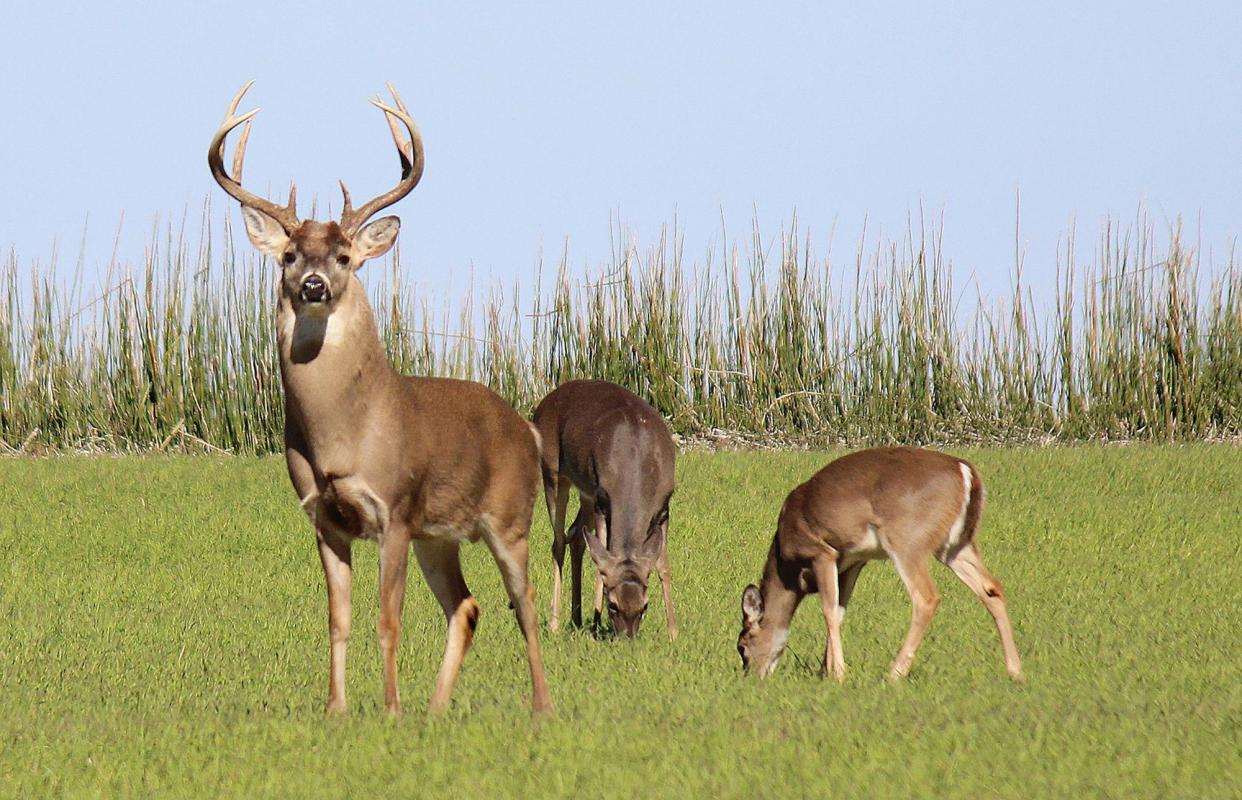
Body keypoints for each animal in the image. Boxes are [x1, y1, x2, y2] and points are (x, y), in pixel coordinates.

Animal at [209, 82, 553, 710]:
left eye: (344, 256)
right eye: (289, 256)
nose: (313, 285)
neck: (344, 436)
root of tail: (527, 426)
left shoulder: (394, 508)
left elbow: (387, 620)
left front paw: (390, 708)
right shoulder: (324, 517)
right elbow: (337, 619)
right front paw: (337, 708)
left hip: (510, 516)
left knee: (527, 603)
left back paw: (542, 705)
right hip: (439, 535)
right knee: (467, 605)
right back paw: (436, 709)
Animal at [529, 380, 675, 636]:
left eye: (645, 606)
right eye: (612, 605)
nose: (628, 637)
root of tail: (546, 399)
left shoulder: (664, 506)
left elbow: (662, 566)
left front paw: (673, 633)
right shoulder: (602, 500)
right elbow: (600, 564)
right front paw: (596, 625)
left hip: (585, 491)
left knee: (576, 535)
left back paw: (576, 618)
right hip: (553, 474)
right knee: (559, 542)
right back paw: (556, 623)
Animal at [735, 447, 1018, 675]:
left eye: (742, 646)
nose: (753, 677)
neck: (788, 568)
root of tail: (966, 472)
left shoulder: (821, 552)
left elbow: (828, 610)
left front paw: (838, 674)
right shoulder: (853, 562)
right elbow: (839, 612)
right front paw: (826, 671)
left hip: (908, 540)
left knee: (926, 597)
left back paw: (894, 674)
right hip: (956, 545)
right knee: (991, 587)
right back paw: (1015, 672)